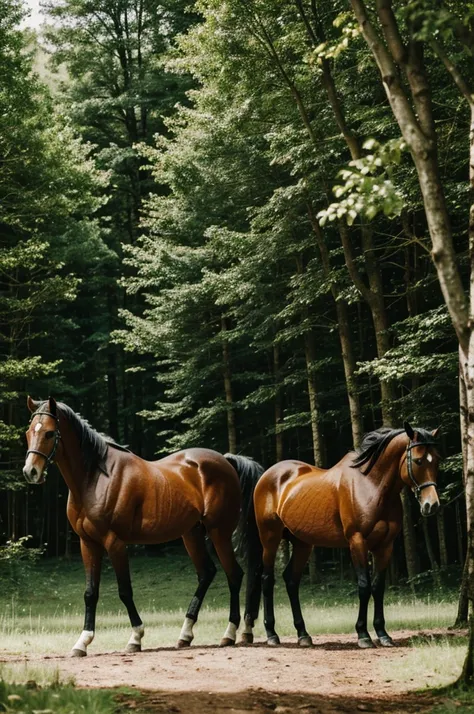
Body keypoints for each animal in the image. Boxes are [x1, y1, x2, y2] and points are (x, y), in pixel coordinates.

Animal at [24, 394, 264, 656]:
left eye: (49, 433)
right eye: (29, 432)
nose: (30, 471)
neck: (96, 478)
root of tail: (226, 461)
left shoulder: (114, 543)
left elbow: (124, 591)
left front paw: (135, 638)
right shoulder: (88, 544)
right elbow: (90, 593)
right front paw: (82, 642)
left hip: (219, 532)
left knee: (234, 575)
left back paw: (230, 634)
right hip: (191, 534)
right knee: (207, 573)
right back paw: (186, 635)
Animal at [252, 422, 440, 652]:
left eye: (437, 460)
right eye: (419, 460)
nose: (432, 505)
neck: (372, 485)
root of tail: (267, 475)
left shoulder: (385, 546)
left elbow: (378, 588)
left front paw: (383, 634)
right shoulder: (357, 541)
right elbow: (364, 586)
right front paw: (363, 635)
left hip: (303, 543)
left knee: (291, 580)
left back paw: (303, 634)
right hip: (270, 538)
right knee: (267, 579)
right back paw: (272, 633)